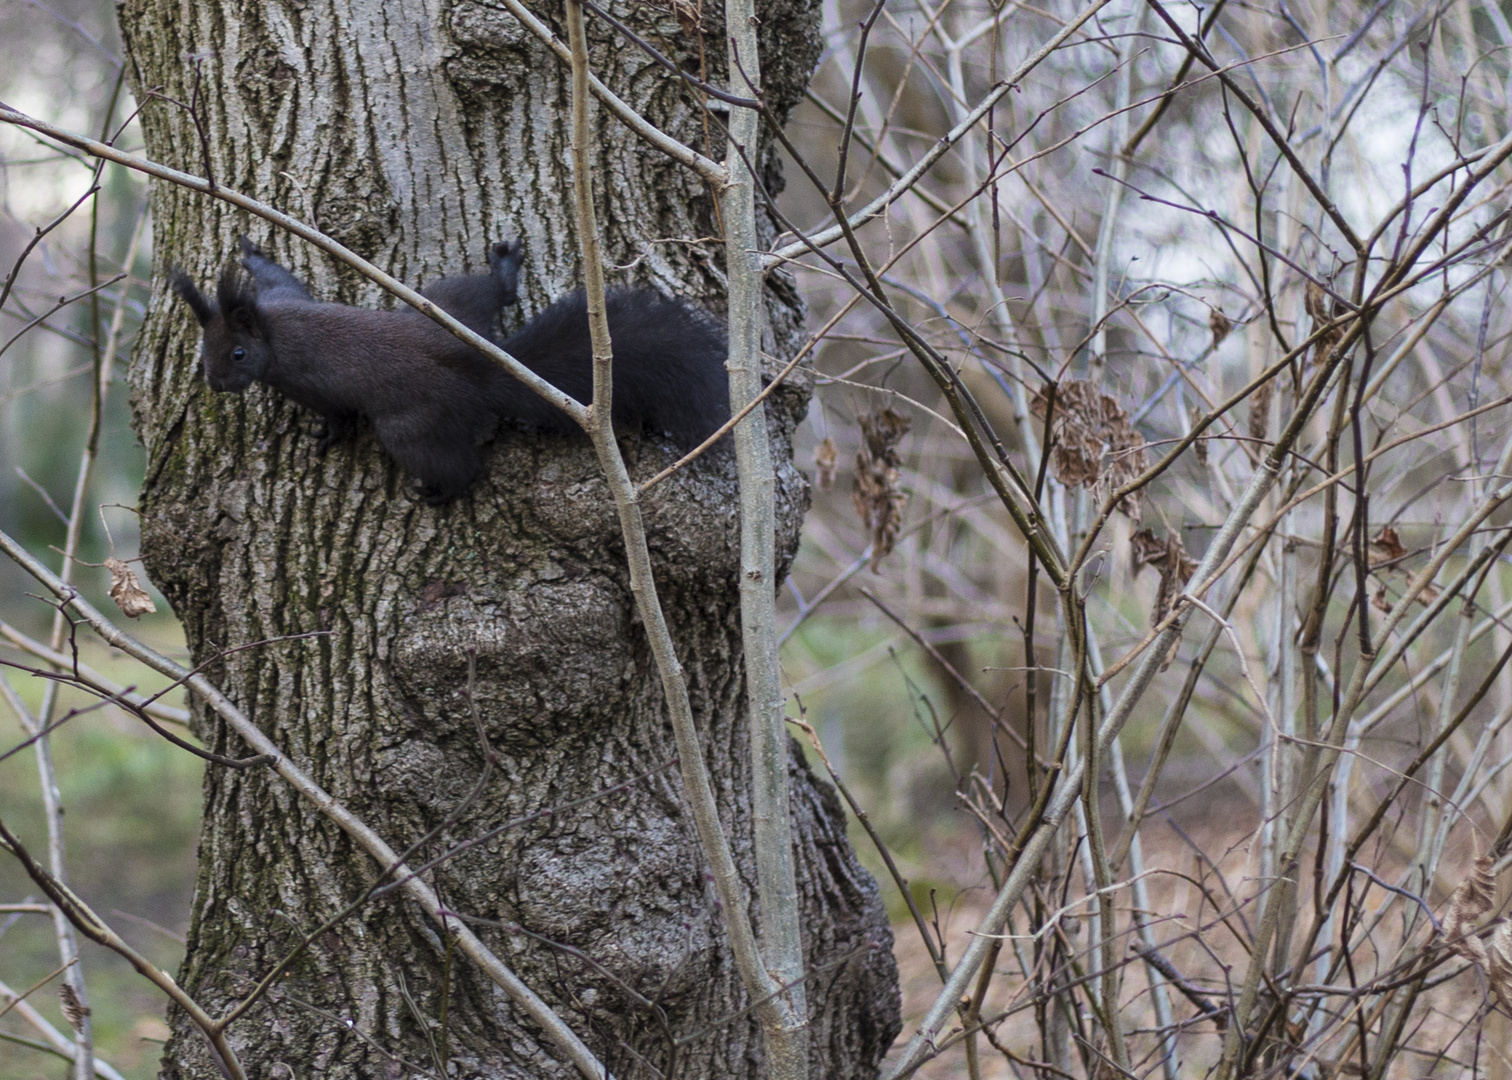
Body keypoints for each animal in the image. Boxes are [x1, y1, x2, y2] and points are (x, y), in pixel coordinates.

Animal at [170, 235, 725, 499]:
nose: (216, 384)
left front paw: (325, 438)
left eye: (237, 355)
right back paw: (504, 269)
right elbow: (280, 277)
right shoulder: (280, 298)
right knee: (493, 294)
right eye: (204, 347)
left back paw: (444, 493)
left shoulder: (305, 380)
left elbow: (337, 416)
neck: (273, 332)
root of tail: (474, 365)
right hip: (450, 301)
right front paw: (252, 252)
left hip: (413, 427)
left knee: (461, 467)